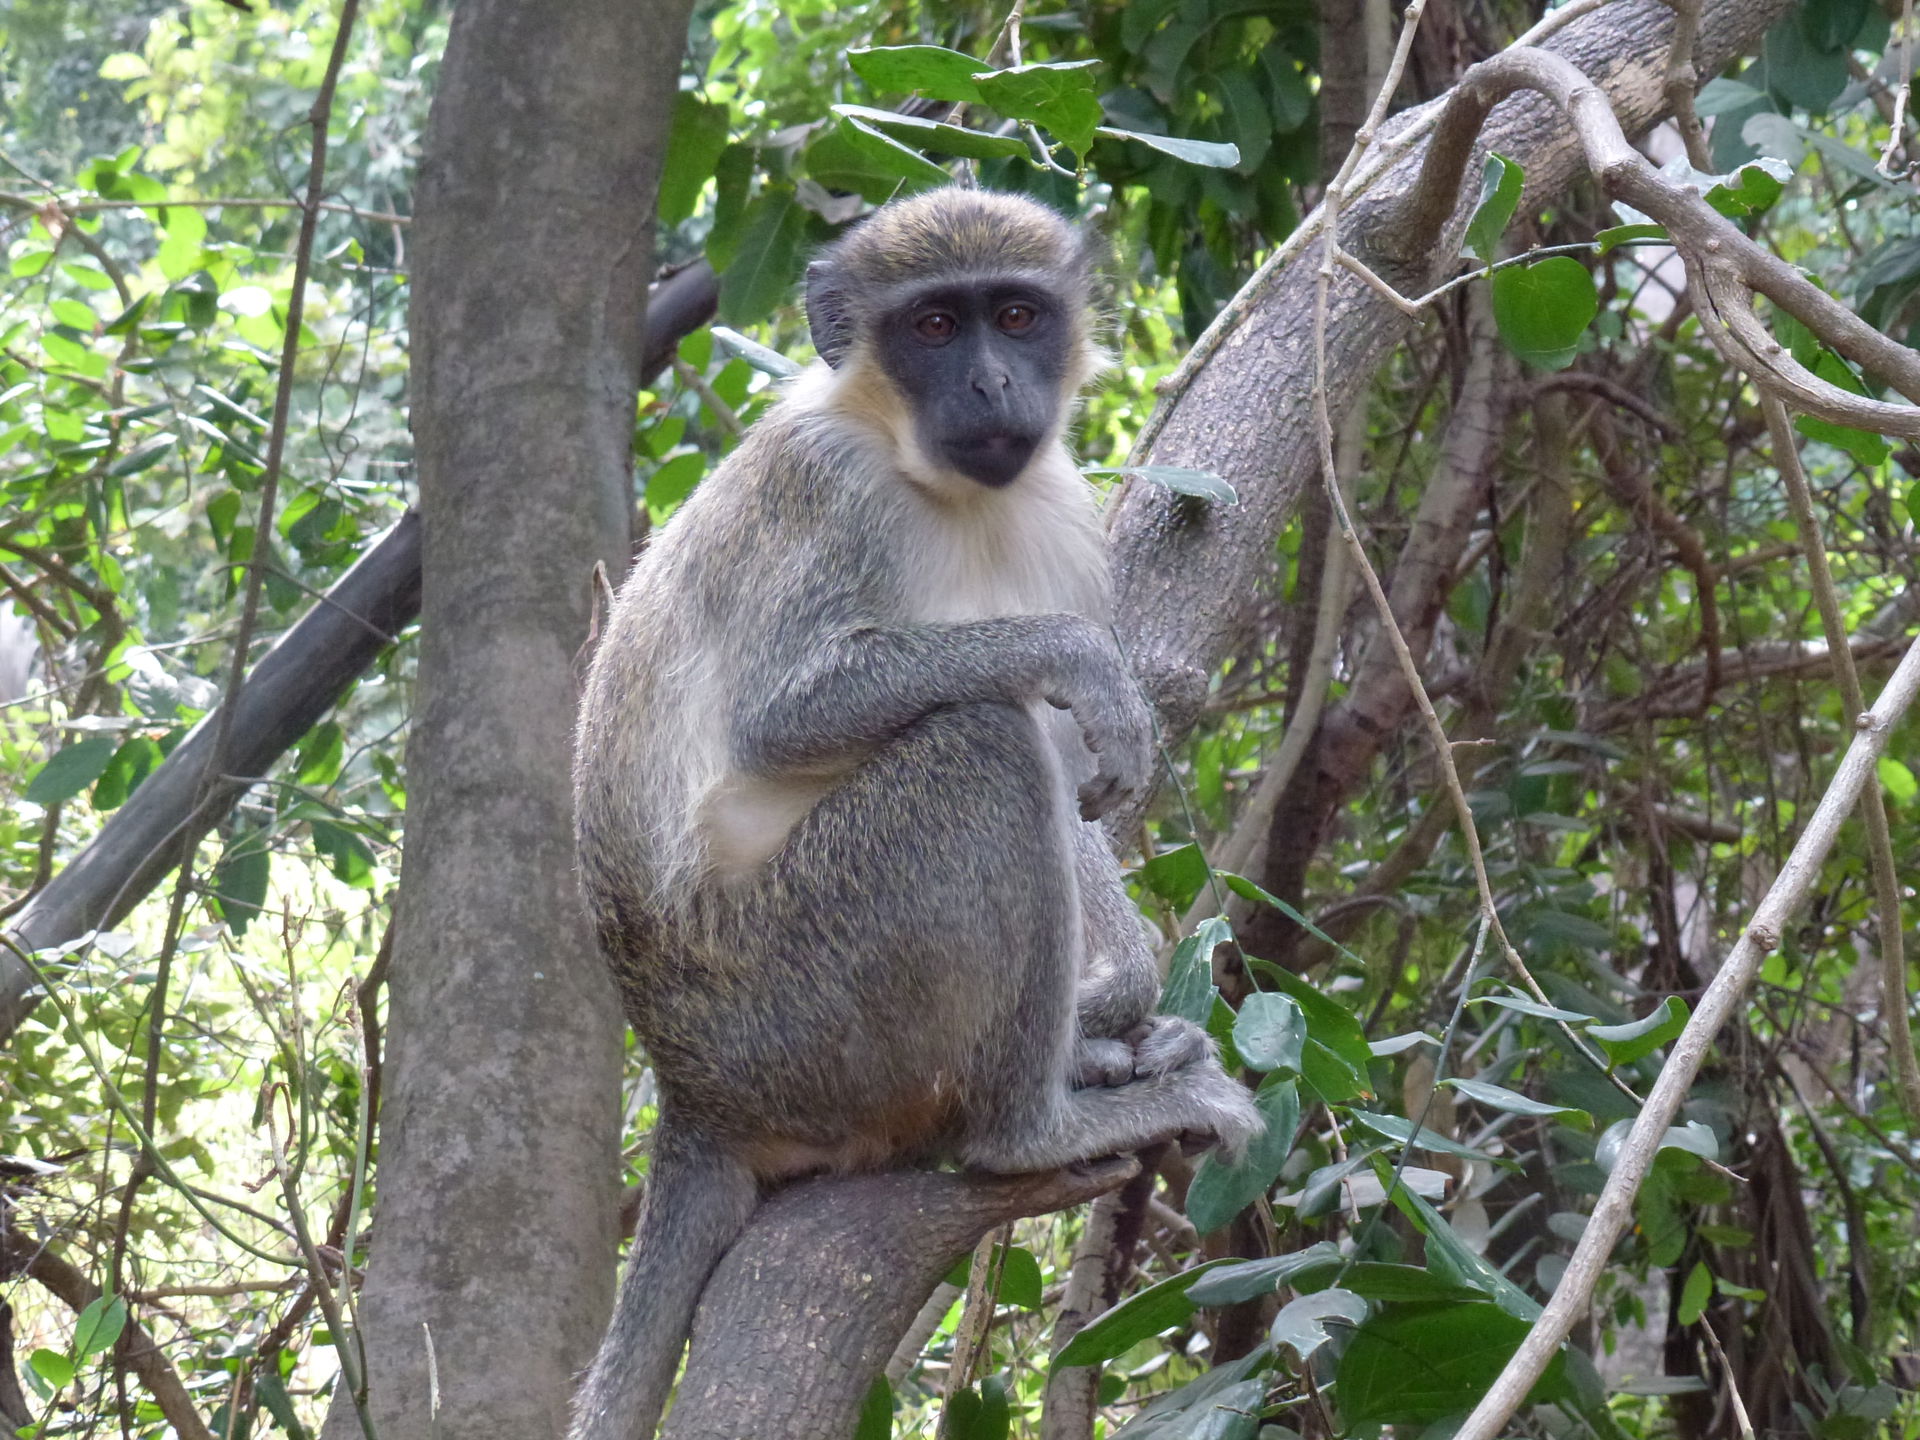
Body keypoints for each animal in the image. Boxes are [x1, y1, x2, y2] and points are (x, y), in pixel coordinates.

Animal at [568, 186, 1262, 1440]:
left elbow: (1074, 775)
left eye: (1017, 314)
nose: (990, 383)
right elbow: (779, 720)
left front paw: (1125, 996)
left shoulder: (1059, 506)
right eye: (935, 326)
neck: (926, 474)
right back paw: (1032, 1129)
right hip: (801, 1010)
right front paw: (1078, 660)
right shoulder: (826, 487)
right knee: (980, 742)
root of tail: (691, 1089)